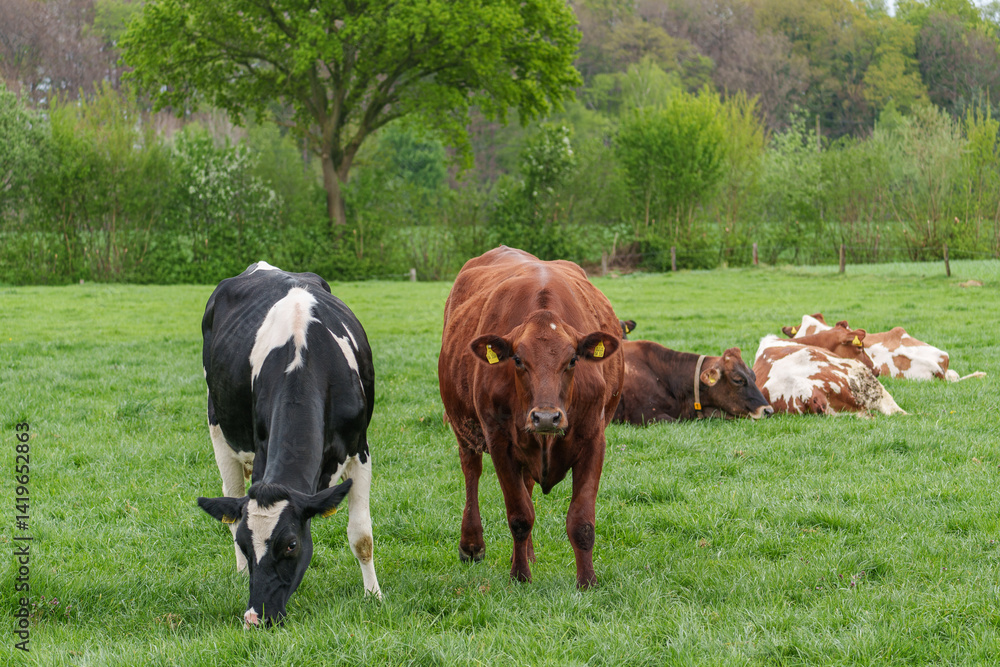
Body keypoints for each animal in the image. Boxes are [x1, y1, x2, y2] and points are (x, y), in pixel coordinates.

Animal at [198, 261, 381, 627]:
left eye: (291, 545)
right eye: (245, 545)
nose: (255, 618)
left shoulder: (360, 450)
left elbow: (362, 537)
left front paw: (374, 596)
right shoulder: (260, 450)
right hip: (218, 425)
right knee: (230, 495)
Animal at [438, 246, 623, 589]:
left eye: (573, 360)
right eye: (518, 360)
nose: (546, 418)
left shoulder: (594, 438)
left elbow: (581, 520)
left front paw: (587, 581)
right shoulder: (499, 441)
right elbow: (519, 515)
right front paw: (520, 576)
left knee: (527, 486)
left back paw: (529, 553)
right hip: (464, 429)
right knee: (472, 472)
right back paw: (472, 545)